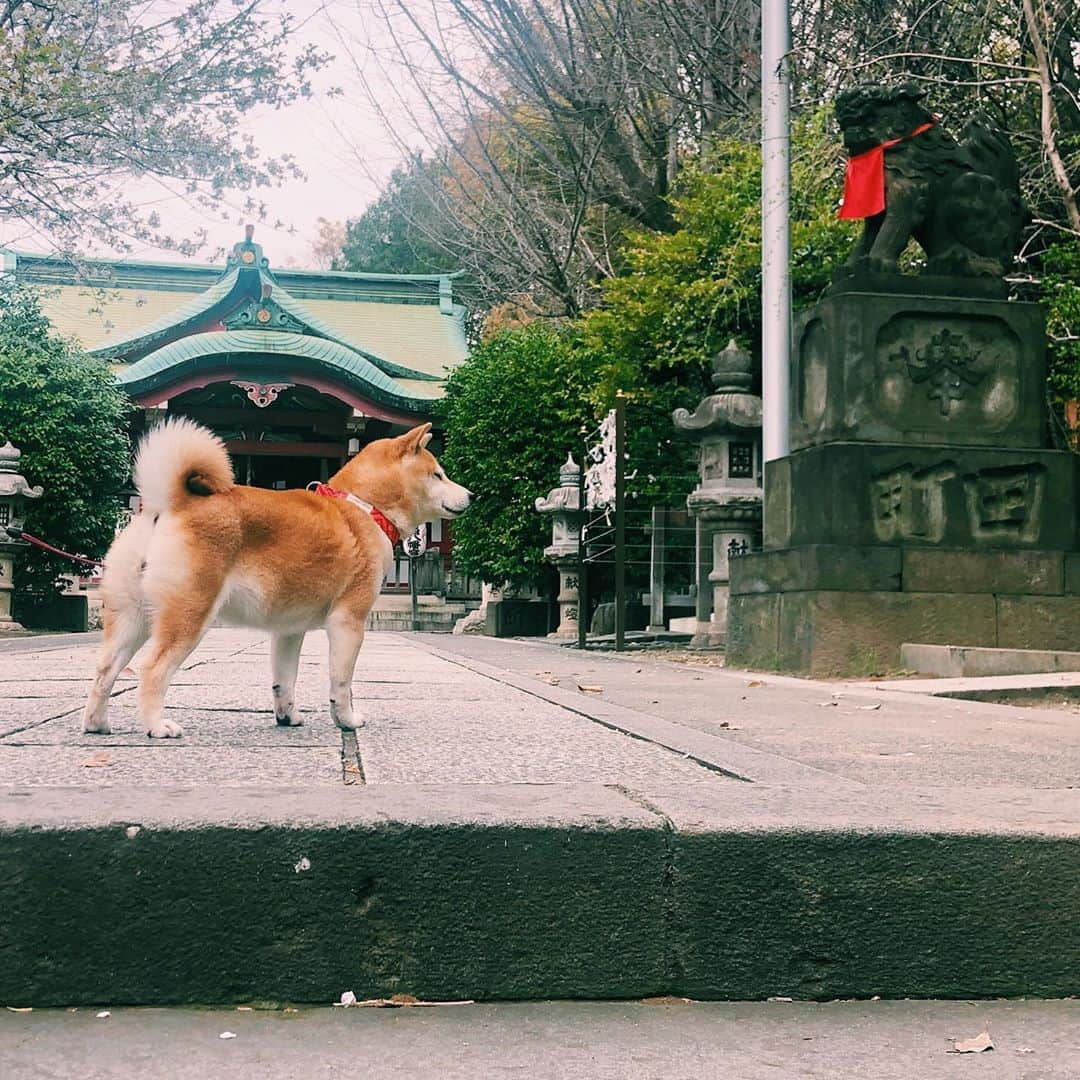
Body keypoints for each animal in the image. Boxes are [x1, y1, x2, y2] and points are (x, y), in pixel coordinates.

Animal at [82, 416, 470, 738]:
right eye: (438, 474)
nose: (471, 494)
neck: (363, 507)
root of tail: (170, 504)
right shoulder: (349, 621)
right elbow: (341, 684)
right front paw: (346, 721)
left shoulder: (288, 630)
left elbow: (284, 681)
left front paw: (287, 717)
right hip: (188, 616)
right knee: (152, 670)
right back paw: (157, 726)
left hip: (133, 619)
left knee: (105, 670)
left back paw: (97, 724)